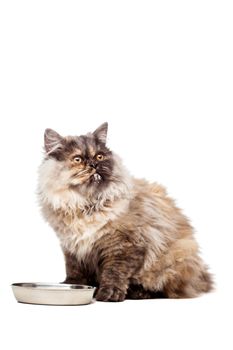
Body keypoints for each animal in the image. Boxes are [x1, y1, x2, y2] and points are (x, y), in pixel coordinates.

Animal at [37, 122, 213, 300]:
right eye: (77, 159)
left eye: (99, 157)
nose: (94, 165)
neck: (86, 205)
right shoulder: (72, 248)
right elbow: (75, 271)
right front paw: (72, 285)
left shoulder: (123, 245)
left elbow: (115, 272)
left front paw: (109, 294)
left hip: (173, 260)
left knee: (162, 289)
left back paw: (138, 292)